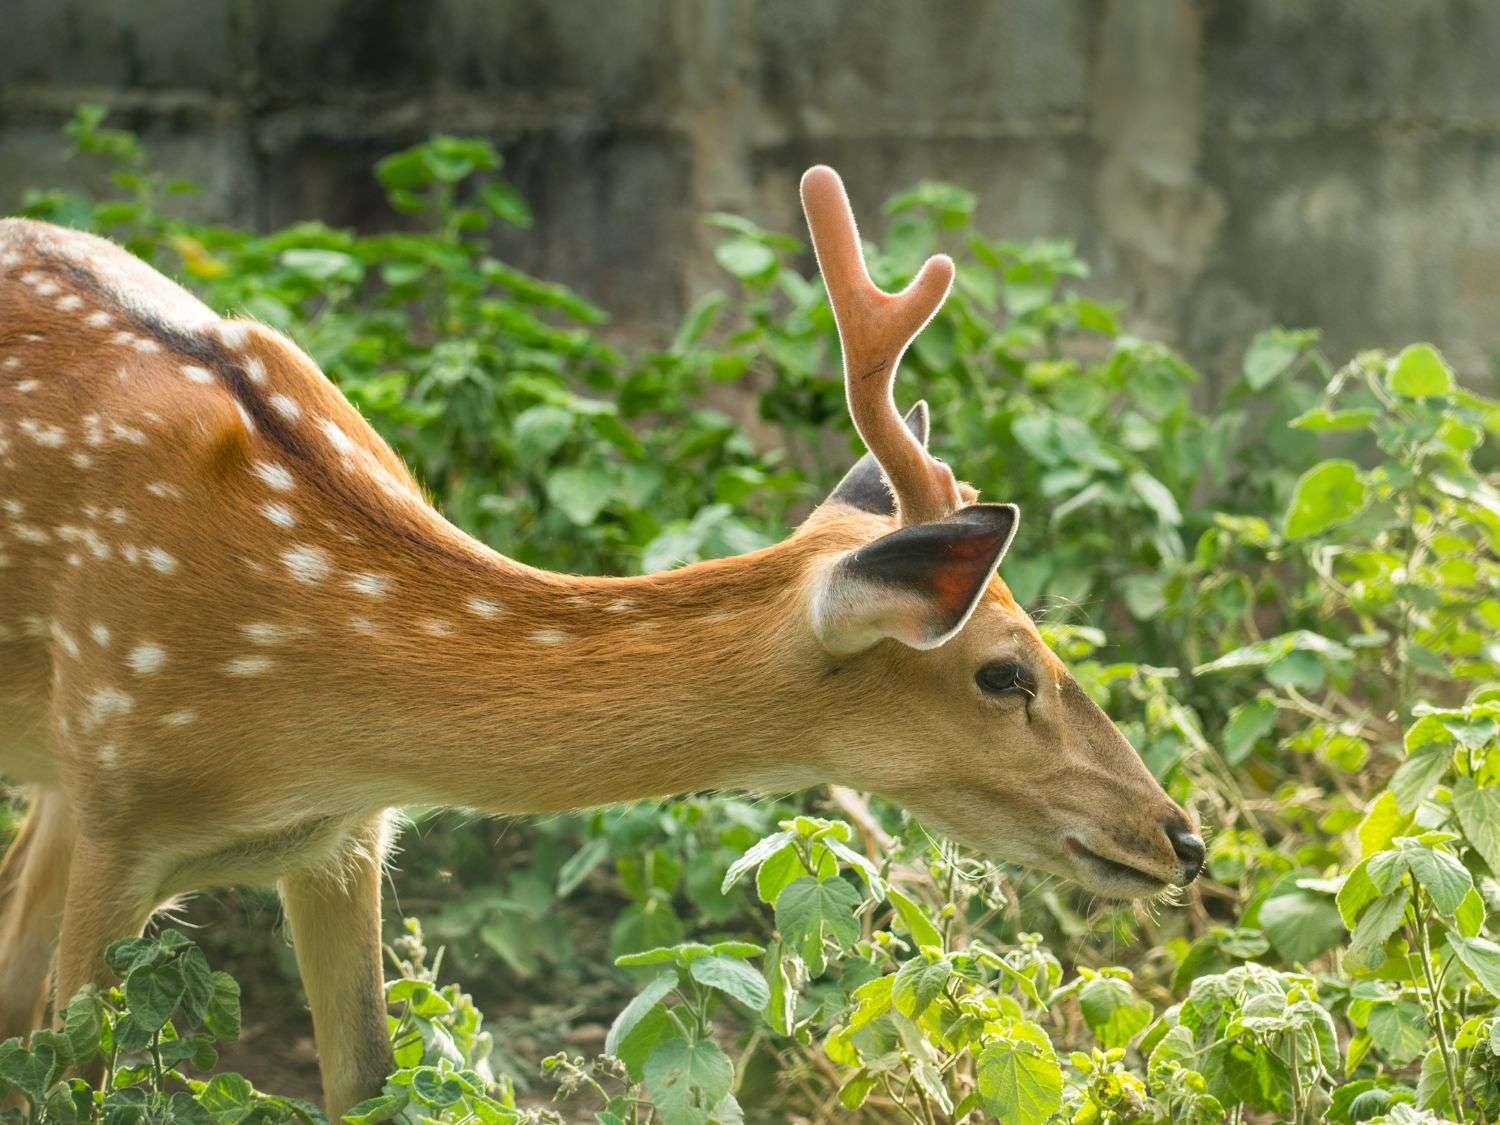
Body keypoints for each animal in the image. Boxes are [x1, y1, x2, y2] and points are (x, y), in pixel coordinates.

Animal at [0, 167, 1200, 1122]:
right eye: (1005, 671)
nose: (1181, 838)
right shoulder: (120, 792)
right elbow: (78, 1078)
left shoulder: (343, 834)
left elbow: (367, 1081)